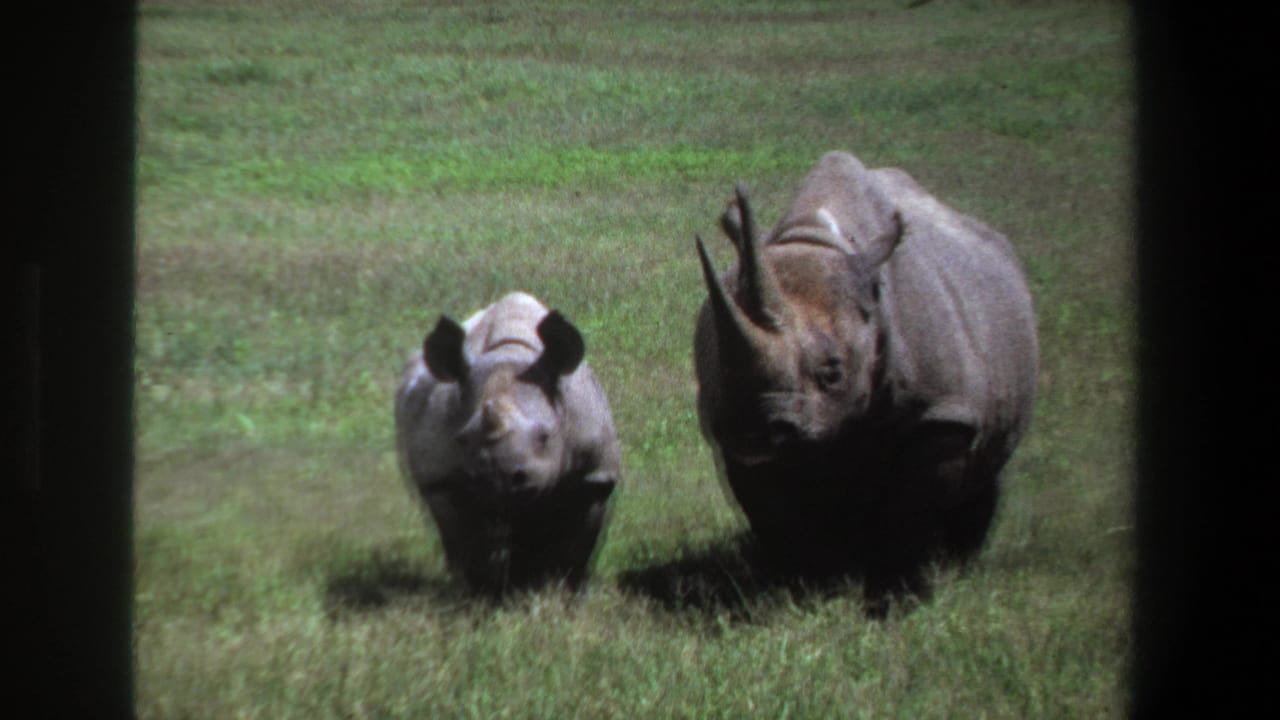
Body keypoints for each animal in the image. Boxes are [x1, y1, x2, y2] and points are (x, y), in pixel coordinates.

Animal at [394, 292, 621, 595]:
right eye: (462, 439)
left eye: (545, 436)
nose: (498, 478)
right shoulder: (442, 481)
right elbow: (466, 545)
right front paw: (483, 596)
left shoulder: (594, 476)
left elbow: (577, 549)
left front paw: (564, 594)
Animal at [693, 151, 1038, 609]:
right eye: (723, 369)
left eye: (833, 371)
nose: (756, 431)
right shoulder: (739, 438)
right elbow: (775, 514)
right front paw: (802, 589)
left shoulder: (941, 416)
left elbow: (912, 511)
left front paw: (899, 599)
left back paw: (960, 566)